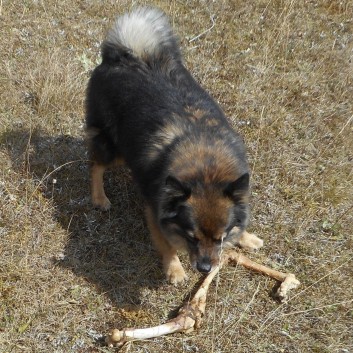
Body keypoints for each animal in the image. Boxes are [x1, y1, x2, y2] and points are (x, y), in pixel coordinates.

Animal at [84, 7, 262, 284]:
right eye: (192, 237)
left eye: (220, 239)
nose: (205, 269)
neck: (206, 165)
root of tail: (125, 56)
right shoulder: (156, 210)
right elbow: (166, 244)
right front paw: (174, 269)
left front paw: (246, 237)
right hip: (114, 146)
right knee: (95, 164)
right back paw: (99, 197)